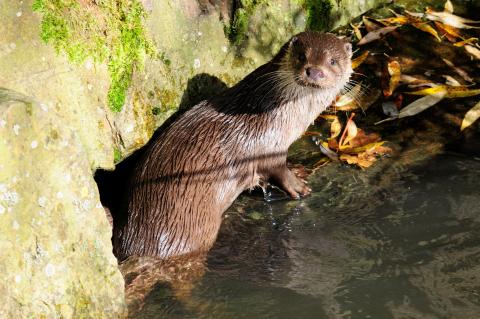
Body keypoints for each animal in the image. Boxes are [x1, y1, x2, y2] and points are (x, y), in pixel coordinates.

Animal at [112, 31, 352, 262]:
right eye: (302, 56)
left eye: (332, 61)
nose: (315, 71)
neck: (273, 110)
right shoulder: (269, 144)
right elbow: (277, 170)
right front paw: (298, 186)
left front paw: (298, 169)